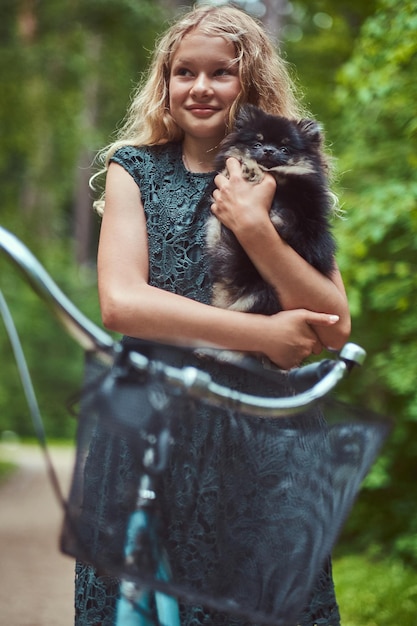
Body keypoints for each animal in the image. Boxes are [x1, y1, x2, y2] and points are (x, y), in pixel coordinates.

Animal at [206, 105, 336, 316]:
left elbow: (295, 222)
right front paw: (249, 167)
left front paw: (253, 171)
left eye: (284, 148)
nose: (268, 150)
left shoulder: (305, 208)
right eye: (257, 144)